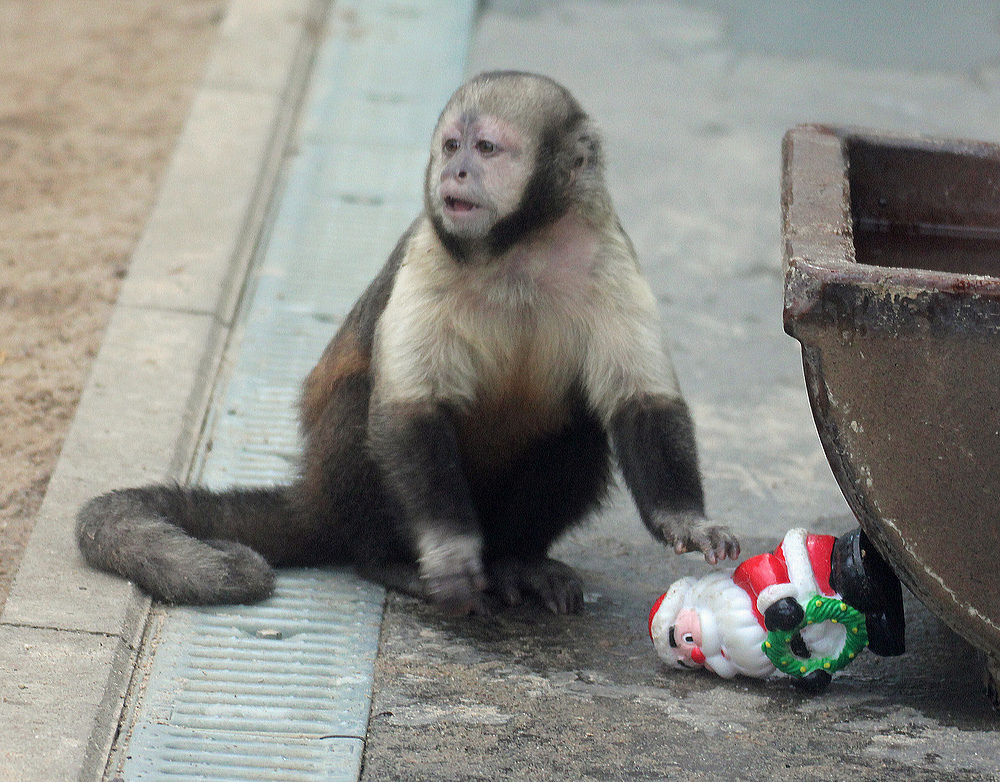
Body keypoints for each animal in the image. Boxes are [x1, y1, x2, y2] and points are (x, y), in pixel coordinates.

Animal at [78, 70, 740, 616]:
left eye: (486, 149)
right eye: (451, 147)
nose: (456, 173)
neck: (517, 246)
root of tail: (315, 497)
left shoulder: (605, 251)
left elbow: (641, 402)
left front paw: (686, 521)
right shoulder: (428, 253)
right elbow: (408, 411)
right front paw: (447, 552)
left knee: (577, 425)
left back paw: (517, 560)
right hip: (348, 492)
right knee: (363, 407)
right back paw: (389, 561)